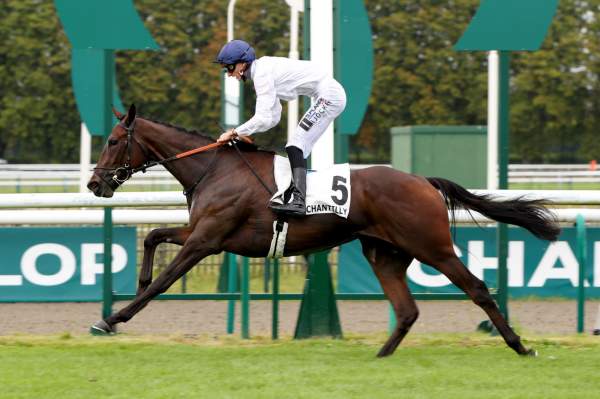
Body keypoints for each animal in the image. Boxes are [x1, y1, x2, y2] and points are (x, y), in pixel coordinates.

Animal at [86, 104, 560, 358]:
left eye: (112, 141)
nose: (94, 184)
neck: (213, 168)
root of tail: (423, 181)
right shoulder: (201, 233)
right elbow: (153, 236)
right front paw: (136, 281)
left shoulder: (207, 240)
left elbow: (164, 281)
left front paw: (112, 318)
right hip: (384, 253)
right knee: (407, 310)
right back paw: (380, 356)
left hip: (434, 247)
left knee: (477, 289)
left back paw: (520, 345)